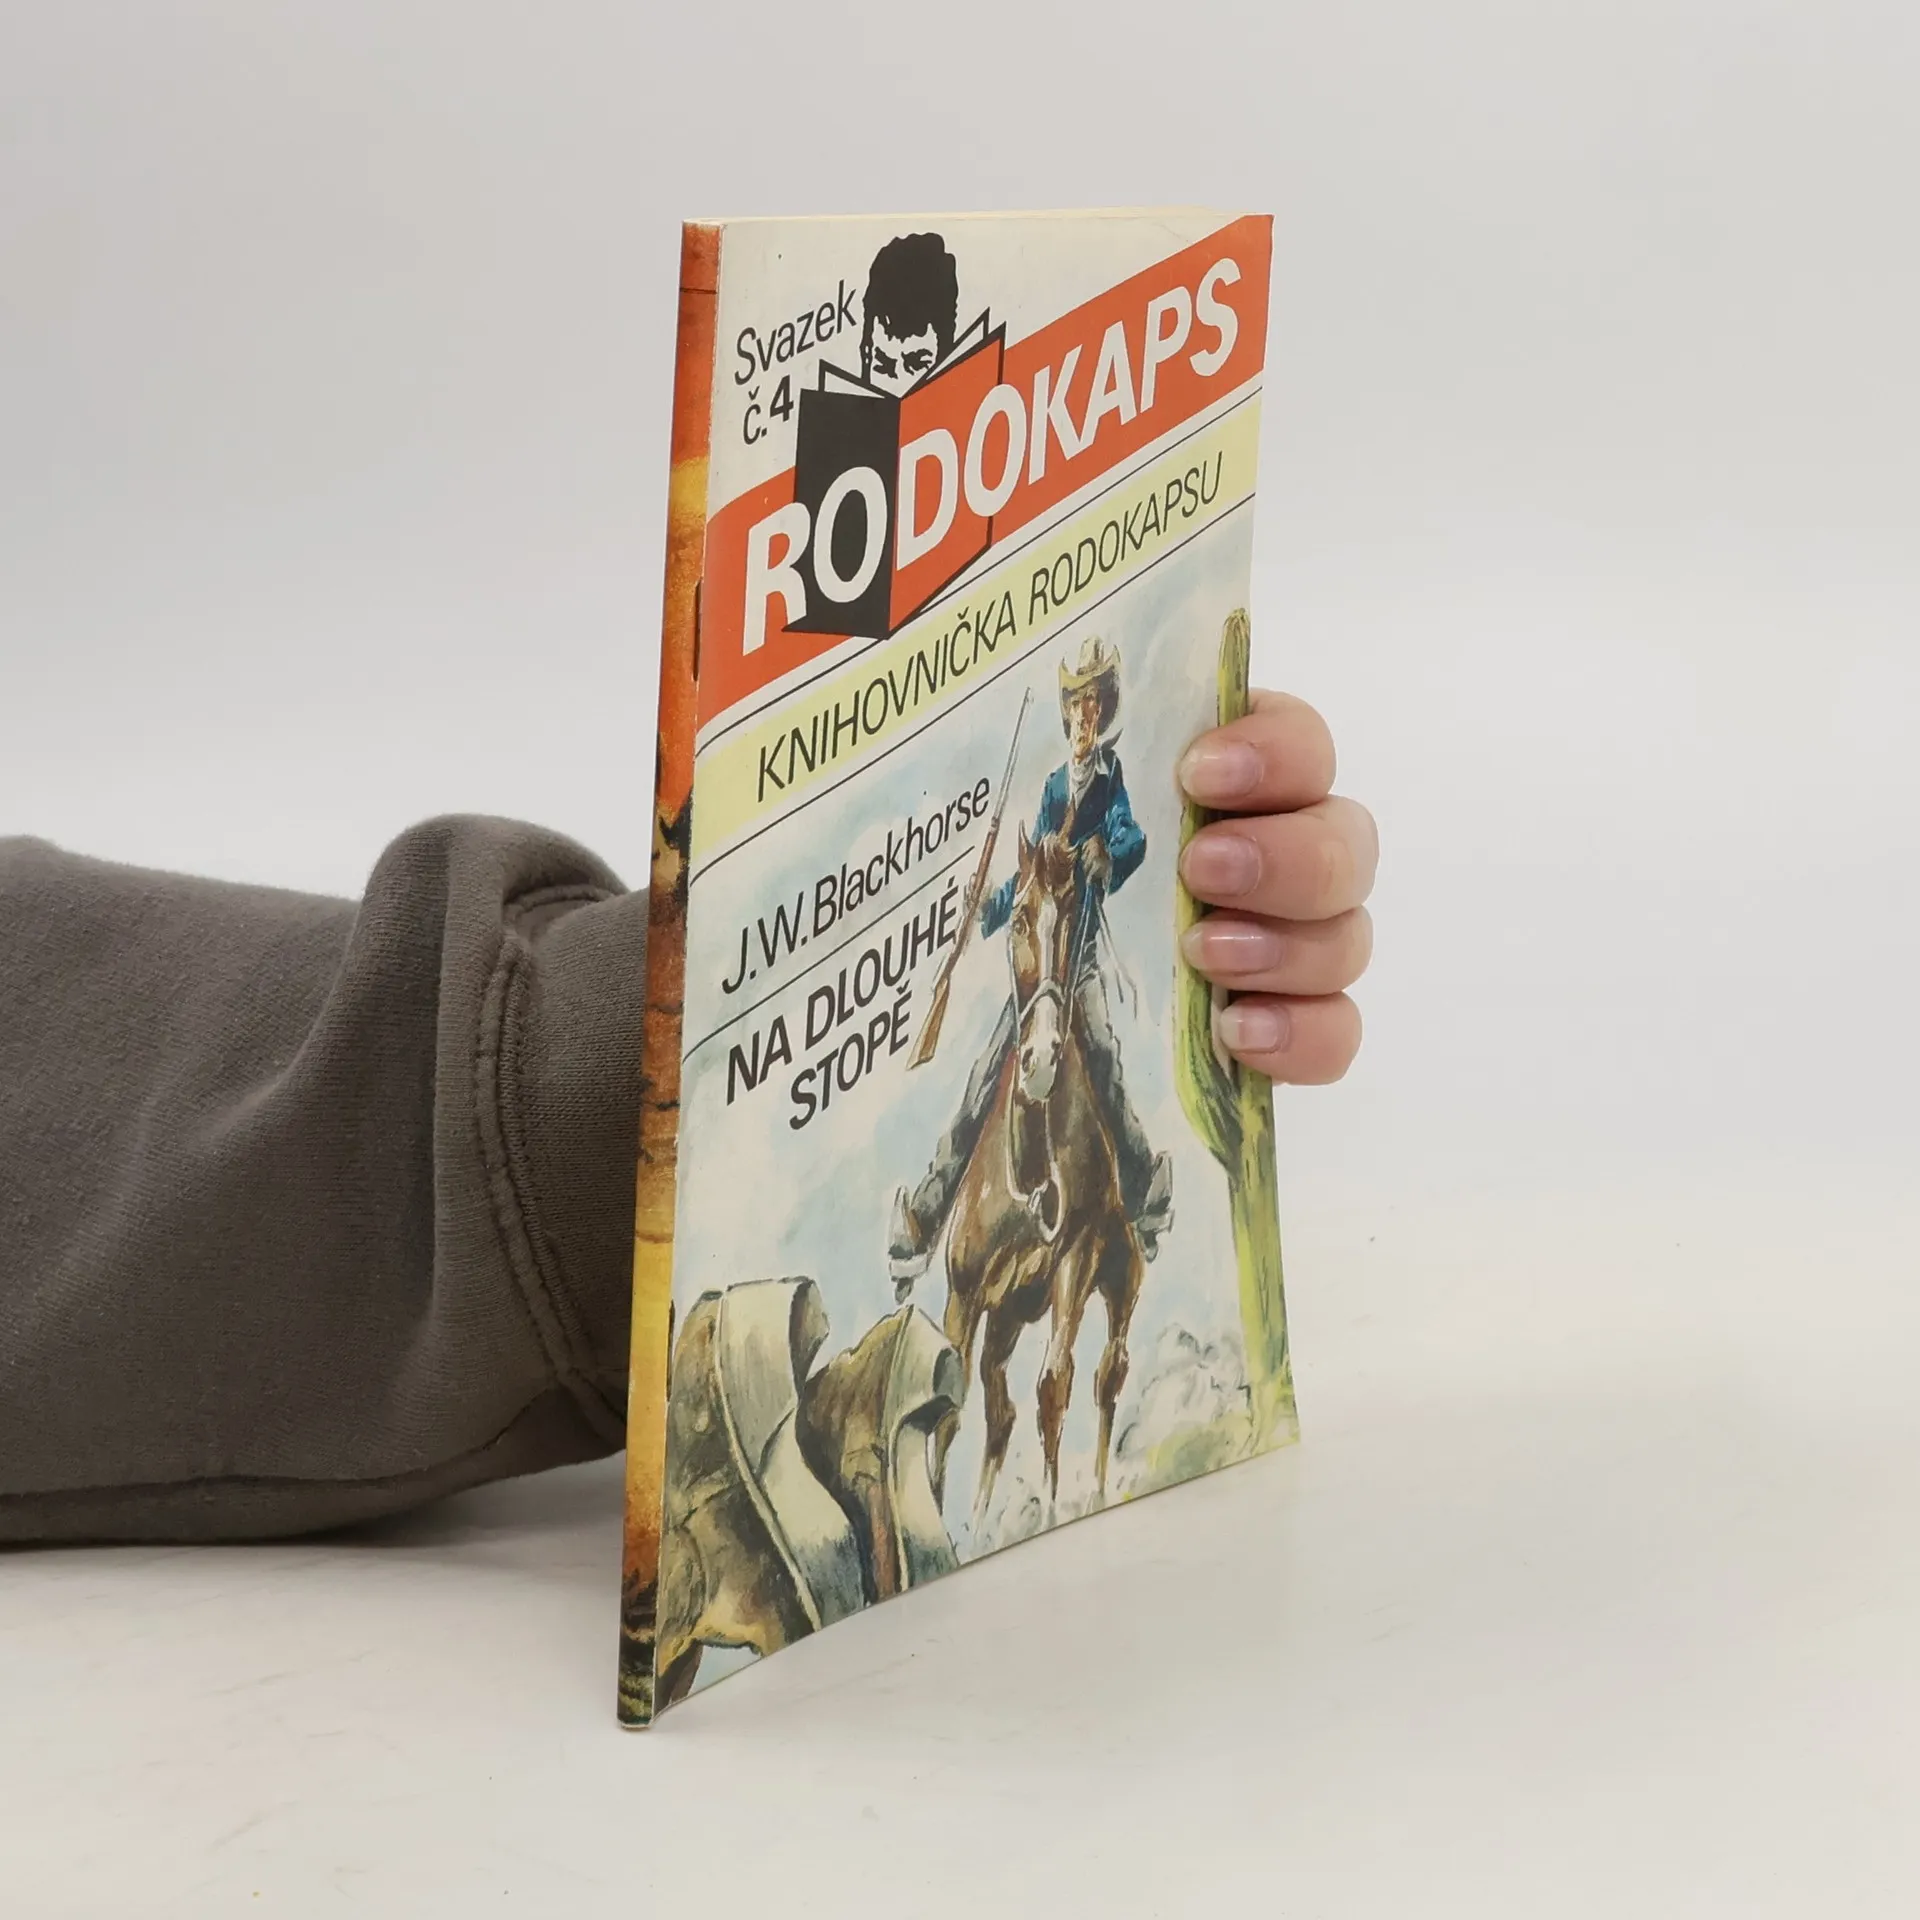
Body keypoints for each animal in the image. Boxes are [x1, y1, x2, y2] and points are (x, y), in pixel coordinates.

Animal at [937, 826, 1145, 1536]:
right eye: (1021, 917)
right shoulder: (965, 1296)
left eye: (1076, 915)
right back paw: (975, 1523)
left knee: (1109, 1373)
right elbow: (944, 1406)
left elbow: (1055, 1386)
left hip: (1119, 1276)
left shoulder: (1077, 1261)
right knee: (998, 1413)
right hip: (1005, 1320)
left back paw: (1098, 1488)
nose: (1040, 1061)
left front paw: (1054, 1506)